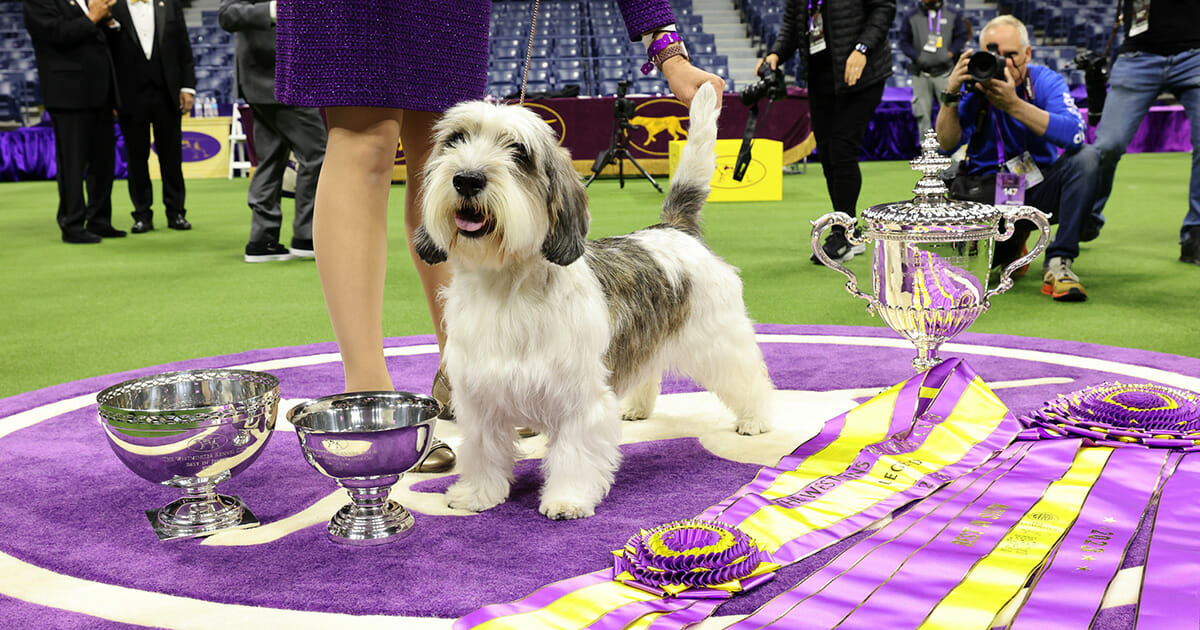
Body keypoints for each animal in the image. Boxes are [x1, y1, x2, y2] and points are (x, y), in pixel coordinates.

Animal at [417, 81, 772, 518]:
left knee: (748, 376)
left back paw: (755, 418)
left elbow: (574, 452)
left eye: (518, 152)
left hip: (720, 338)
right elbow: (484, 450)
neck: (508, 288)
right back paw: (638, 406)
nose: (467, 179)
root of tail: (674, 227)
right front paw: (478, 494)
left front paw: (567, 499)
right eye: (456, 140)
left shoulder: (578, 397)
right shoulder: (481, 395)